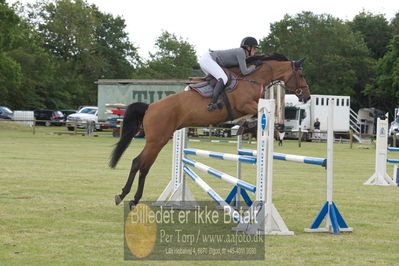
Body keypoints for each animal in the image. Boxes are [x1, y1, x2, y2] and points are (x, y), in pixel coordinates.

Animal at [110, 53, 312, 208]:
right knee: (139, 163)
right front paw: (268, 127)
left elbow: (251, 118)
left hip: (160, 140)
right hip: (157, 140)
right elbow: (258, 113)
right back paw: (126, 196)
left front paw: (245, 128)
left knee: (144, 166)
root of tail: (150, 106)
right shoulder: (246, 105)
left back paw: (131, 198)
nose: (307, 96)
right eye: (301, 74)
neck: (252, 78)